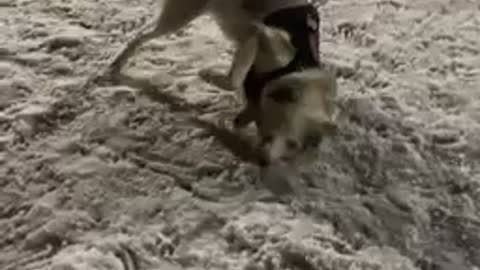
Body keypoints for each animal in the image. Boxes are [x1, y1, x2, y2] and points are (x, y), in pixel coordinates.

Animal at [105, 0, 338, 167]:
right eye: (274, 132)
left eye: (292, 144)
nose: (263, 163)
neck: (296, 70)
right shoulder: (264, 40)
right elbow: (234, 79)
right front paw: (208, 75)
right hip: (179, 17)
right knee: (140, 36)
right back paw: (117, 63)